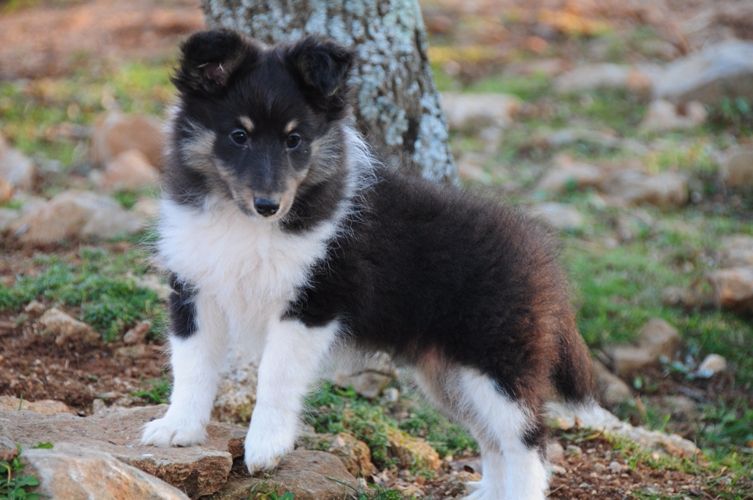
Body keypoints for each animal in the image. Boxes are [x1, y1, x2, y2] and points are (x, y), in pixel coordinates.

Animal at [138, 29, 592, 498]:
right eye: (237, 135)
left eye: (294, 139)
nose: (268, 205)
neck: (244, 223)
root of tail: (543, 258)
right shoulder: (195, 287)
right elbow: (190, 365)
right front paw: (178, 428)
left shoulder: (314, 302)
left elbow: (276, 376)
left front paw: (265, 446)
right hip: (449, 374)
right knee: (492, 437)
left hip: (497, 361)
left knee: (527, 442)